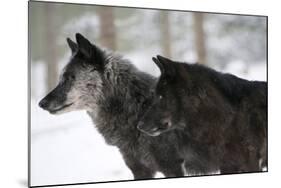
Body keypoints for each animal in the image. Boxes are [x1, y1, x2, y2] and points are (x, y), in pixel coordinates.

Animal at [38, 33, 185, 179]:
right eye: (61, 78)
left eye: (69, 78)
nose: (41, 103)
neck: (137, 108)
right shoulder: (139, 169)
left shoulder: (172, 168)